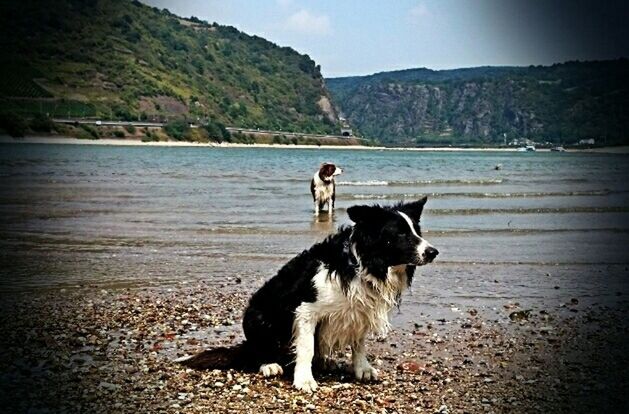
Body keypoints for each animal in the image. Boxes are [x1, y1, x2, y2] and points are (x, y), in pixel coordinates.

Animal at [179, 197, 440, 392]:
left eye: (417, 231)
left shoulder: (359, 311)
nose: (433, 252)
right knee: (258, 350)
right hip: (256, 316)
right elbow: (306, 347)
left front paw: (362, 369)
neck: (363, 263)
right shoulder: (306, 311)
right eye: (399, 234)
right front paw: (304, 379)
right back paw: (270, 364)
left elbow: (359, 344)